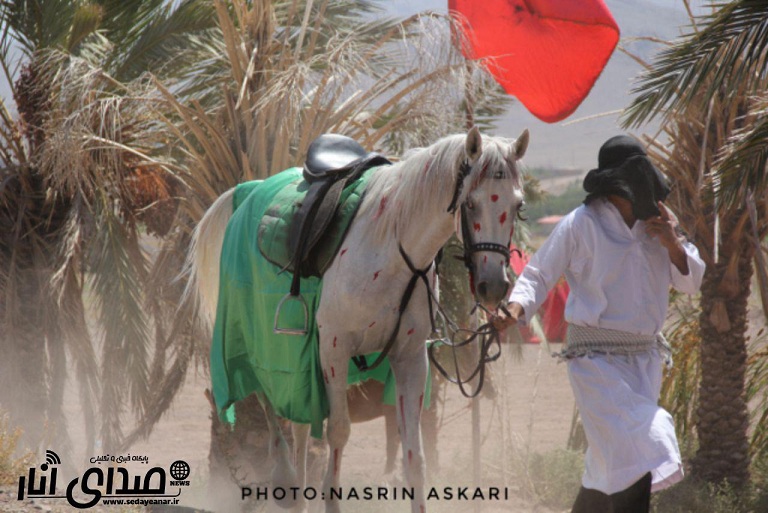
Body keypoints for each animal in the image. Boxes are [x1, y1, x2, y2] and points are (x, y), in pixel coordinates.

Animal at [189, 125, 532, 512]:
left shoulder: (410, 357)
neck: (392, 246)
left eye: (518, 204)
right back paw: (284, 476)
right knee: (264, 394)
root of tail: (249, 190)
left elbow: (414, 456)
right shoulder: (333, 351)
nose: (493, 286)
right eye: (470, 202)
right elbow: (338, 432)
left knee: (300, 423)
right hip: (256, 336)